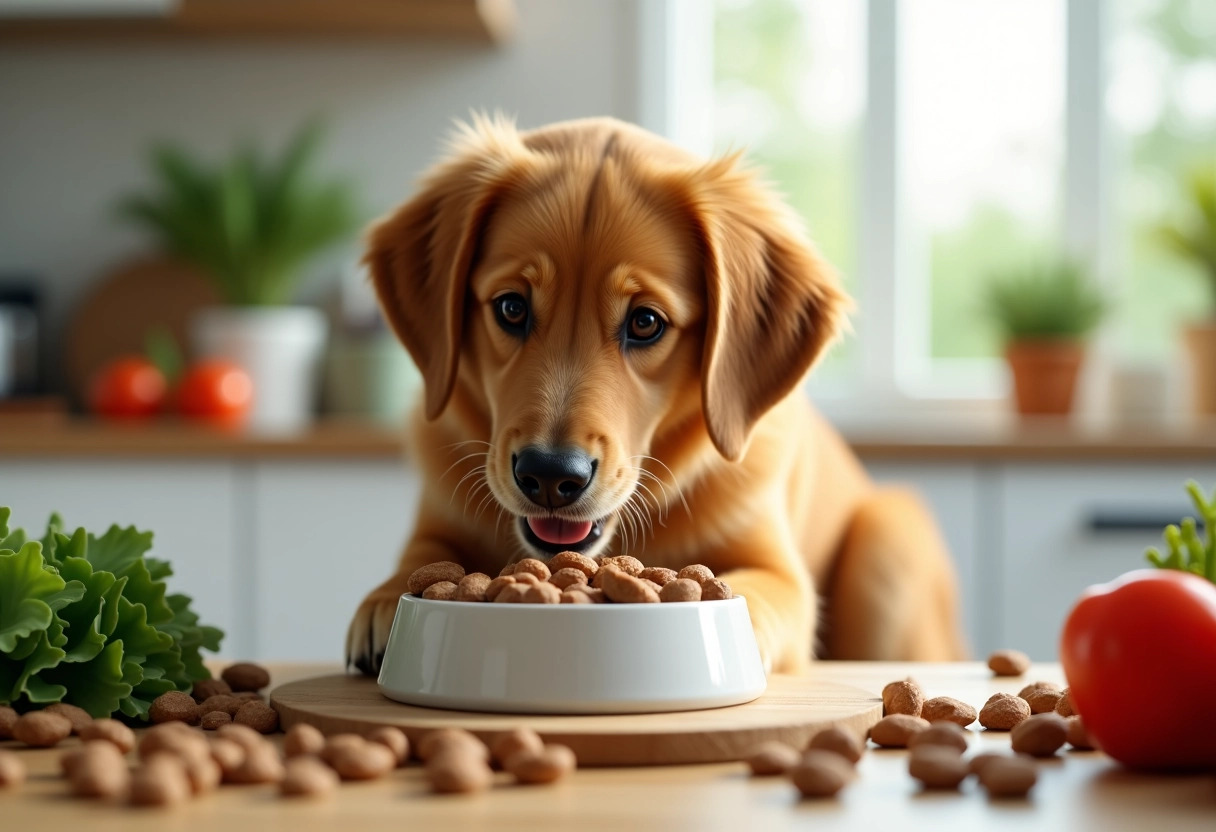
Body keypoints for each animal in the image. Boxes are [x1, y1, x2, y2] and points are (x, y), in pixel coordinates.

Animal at [345, 116, 967, 676]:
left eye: (645, 322)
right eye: (511, 308)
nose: (550, 475)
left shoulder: (778, 571)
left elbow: (755, 595)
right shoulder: (436, 523)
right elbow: (421, 560)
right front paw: (384, 602)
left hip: (889, 544)